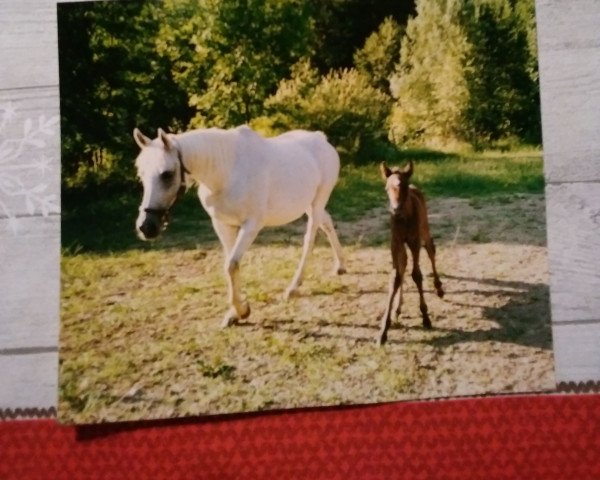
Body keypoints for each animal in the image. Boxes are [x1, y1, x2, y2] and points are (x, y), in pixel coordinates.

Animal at [133, 124, 344, 326]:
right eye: (141, 174)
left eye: (167, 174)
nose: (146, 227)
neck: (226, 172)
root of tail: (321, 138)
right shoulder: (222, 224)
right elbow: (230, 264)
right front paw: (235, 313)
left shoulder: (251, 225)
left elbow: (232, 265)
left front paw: (242, 311)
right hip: (307, 203)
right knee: (327, 222)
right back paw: (340, 266)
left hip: (318, 201)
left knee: (310, 240)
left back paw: (293, 288)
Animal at [378, 161, 442, 344]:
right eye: (387, 188)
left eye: (404, 186)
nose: (395, 209)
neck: (403, 218)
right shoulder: (395, 243)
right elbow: (396, 277)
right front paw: (384, 330)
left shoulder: (414, 241)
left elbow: (417, 275)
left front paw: (426, 317)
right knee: (404, 263)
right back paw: (398, 309)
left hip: (424, 229)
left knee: (430, 248)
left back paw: (439, 288)